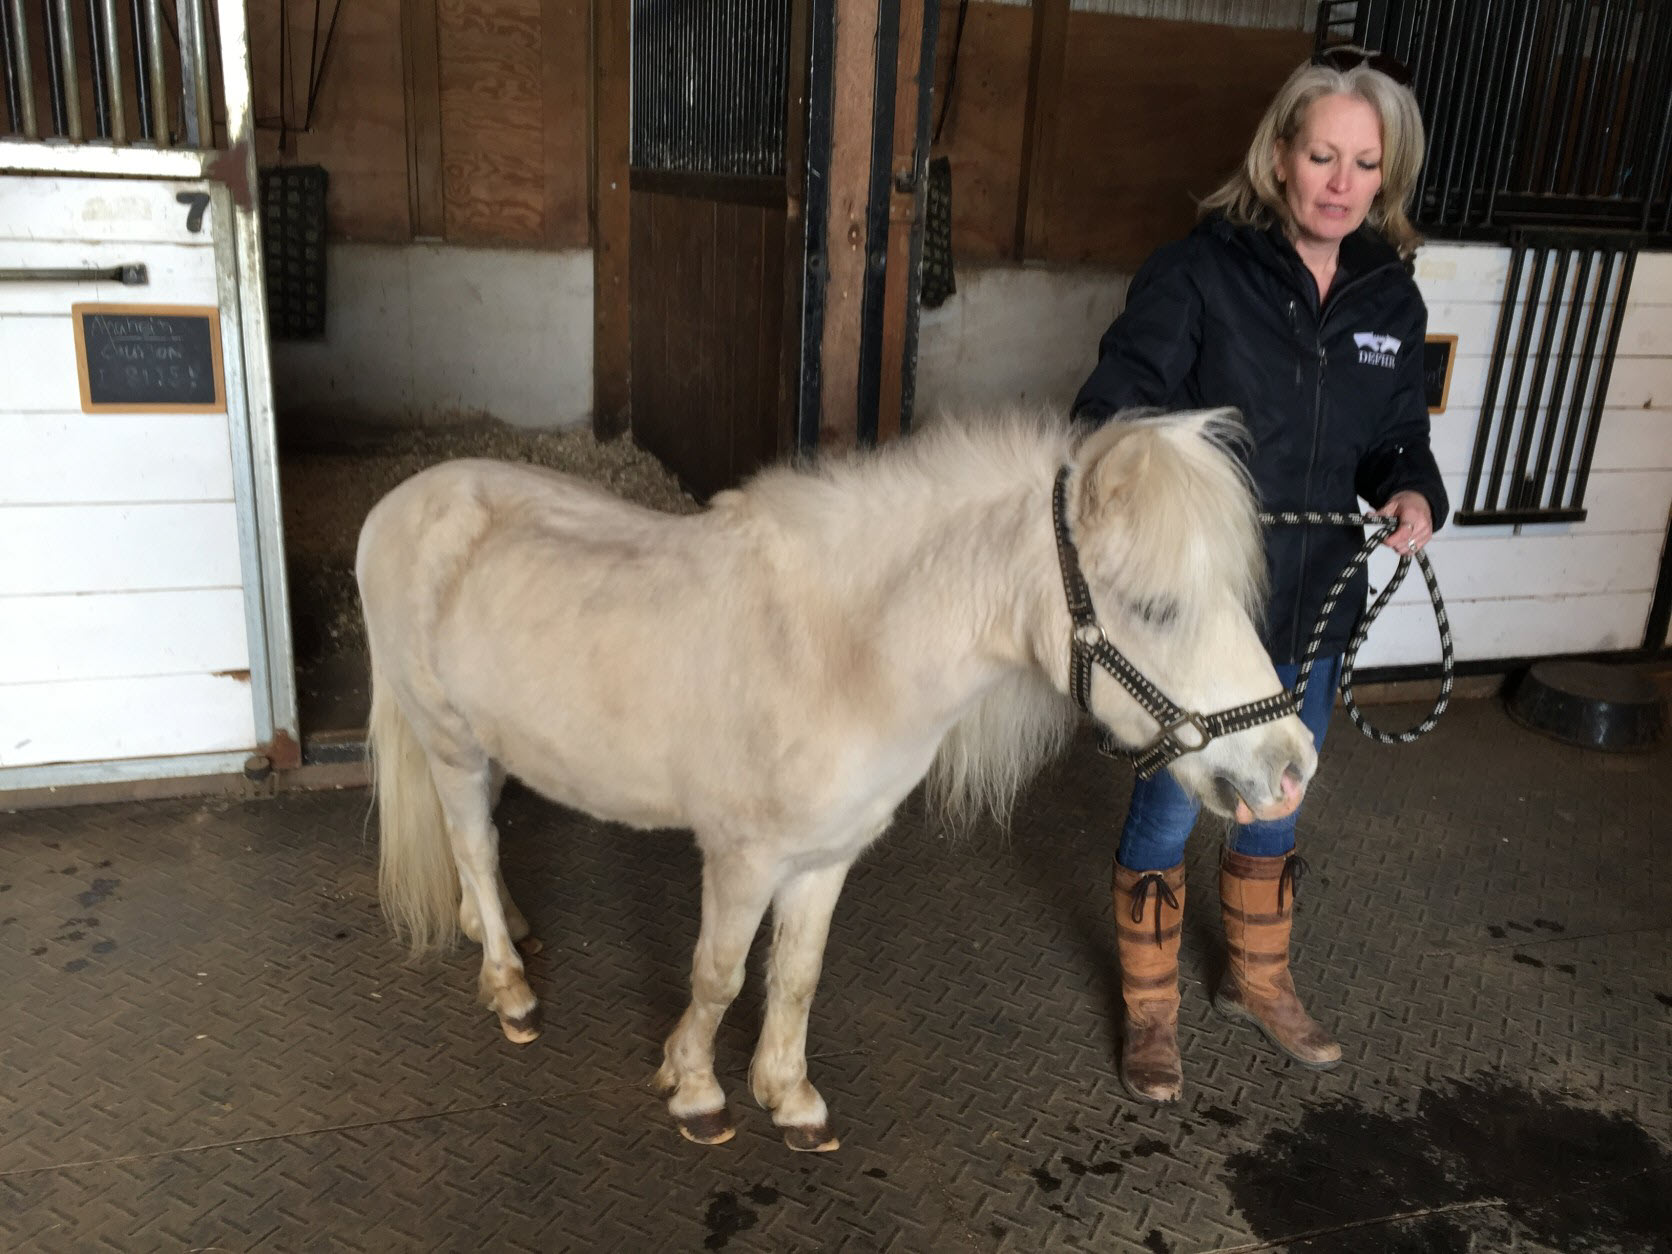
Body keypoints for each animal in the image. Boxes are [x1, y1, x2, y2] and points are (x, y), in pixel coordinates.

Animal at [359, 407, 1310, 1157]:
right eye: (1155, 608)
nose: (1291, 767)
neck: (839, 654)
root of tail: (398, 506)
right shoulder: (742, 861)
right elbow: (719, 976)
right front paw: (696, 1090)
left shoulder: (825, 859)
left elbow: (797, 976)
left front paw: (789, 1099)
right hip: (449, 744)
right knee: (473, 846)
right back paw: (511, 988)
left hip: (490, 748)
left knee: (478, 847)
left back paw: (504, 931)